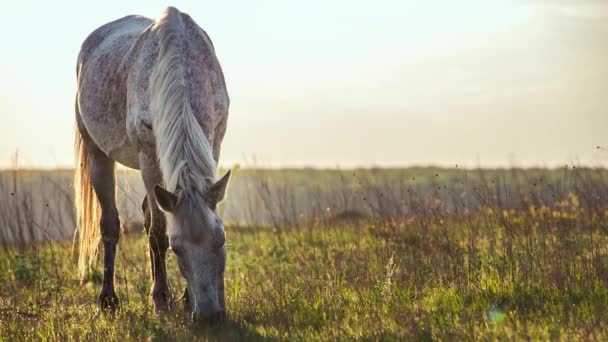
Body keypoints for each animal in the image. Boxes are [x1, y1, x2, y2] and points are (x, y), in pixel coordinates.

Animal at [73, 6, 230, 320]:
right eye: (176, 248)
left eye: (220, 239)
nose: (209, 315)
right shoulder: (149, 158)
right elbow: (158, 231)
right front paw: (160, 299)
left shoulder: (213, 144)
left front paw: (183, 299)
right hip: (99, 155)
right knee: (110, 224)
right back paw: (108, 300)